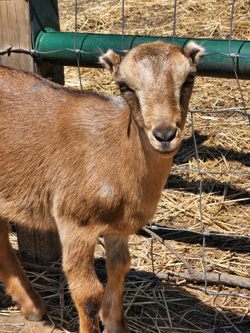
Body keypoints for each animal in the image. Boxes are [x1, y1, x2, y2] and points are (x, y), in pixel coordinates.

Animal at [0, 41, 203, 332]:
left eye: (189, 78)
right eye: (125, 86)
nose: (165, 134)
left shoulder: (119, 228)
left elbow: (120, 267)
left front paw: (116, 324)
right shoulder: (76, 223)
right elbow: (88, 293)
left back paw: (34, 308)